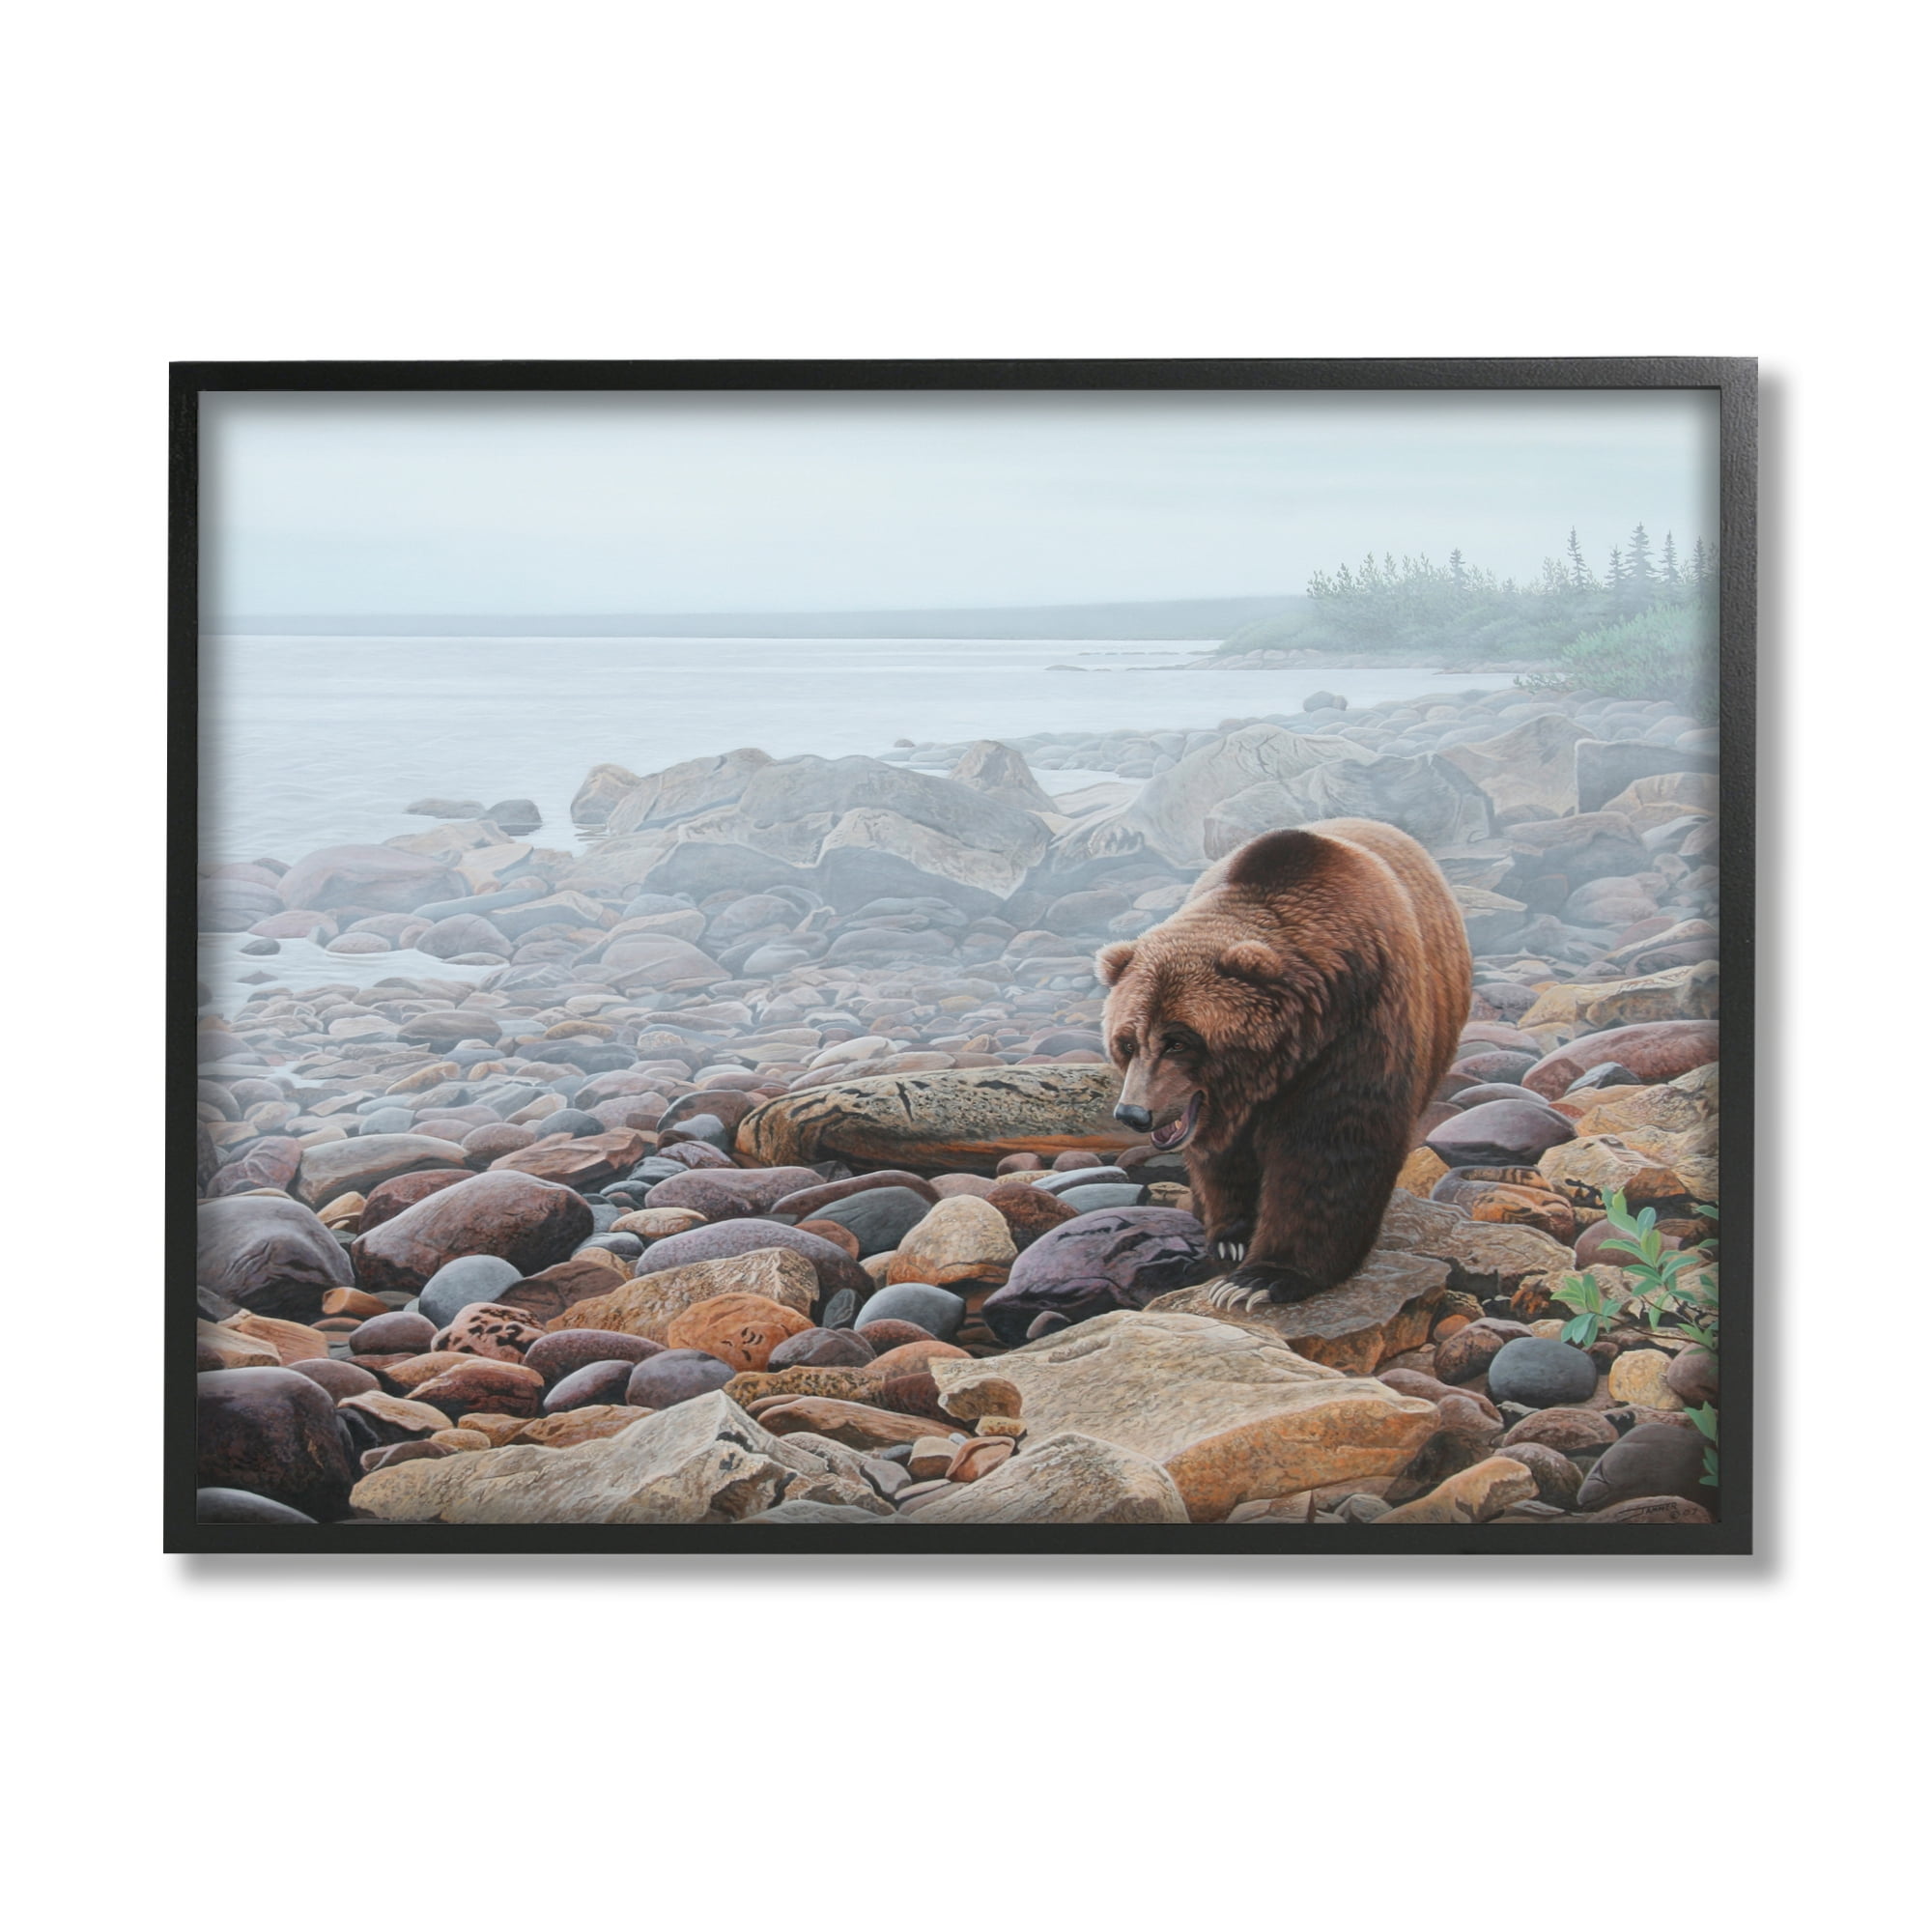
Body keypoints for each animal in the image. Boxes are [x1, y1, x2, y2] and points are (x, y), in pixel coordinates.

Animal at [1095, 817, 1472, 1308]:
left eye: (1178, 1041)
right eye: (1127, 1042)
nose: (1134, 1113)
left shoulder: (1361, 1027)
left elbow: (1329, 1148)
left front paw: (1262, 1278)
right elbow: (1222, 1159)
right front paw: (1231, 1238)